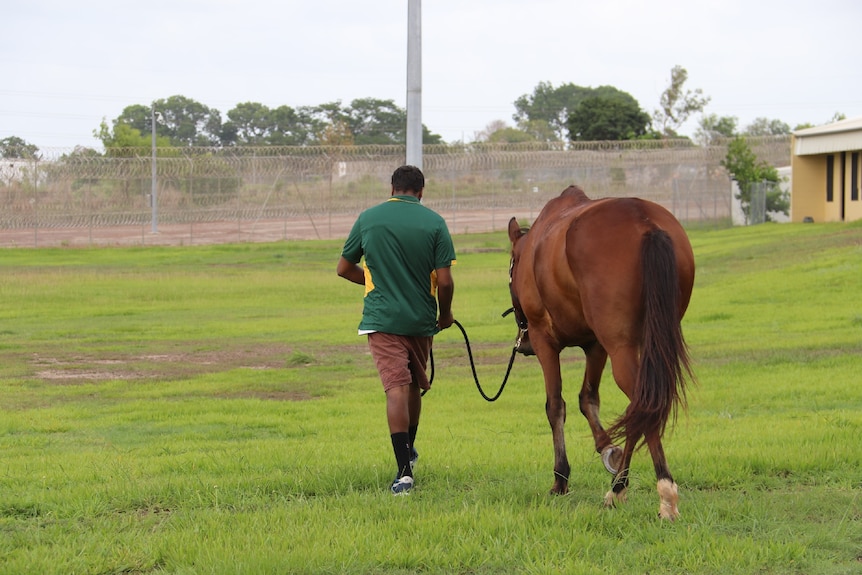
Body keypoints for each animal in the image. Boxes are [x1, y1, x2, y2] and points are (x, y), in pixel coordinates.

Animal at [506, 186, 696, 520]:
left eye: (511, 270)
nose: (523, 344)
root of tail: (645, 223)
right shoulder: (595, 345)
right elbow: (588, 399)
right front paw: (608, 448)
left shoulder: (545, 340)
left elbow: (555, 406)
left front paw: (561, 478)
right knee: (640, 406)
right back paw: (621, 486)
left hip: (619, 349)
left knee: (643, 404)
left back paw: (657, 491)